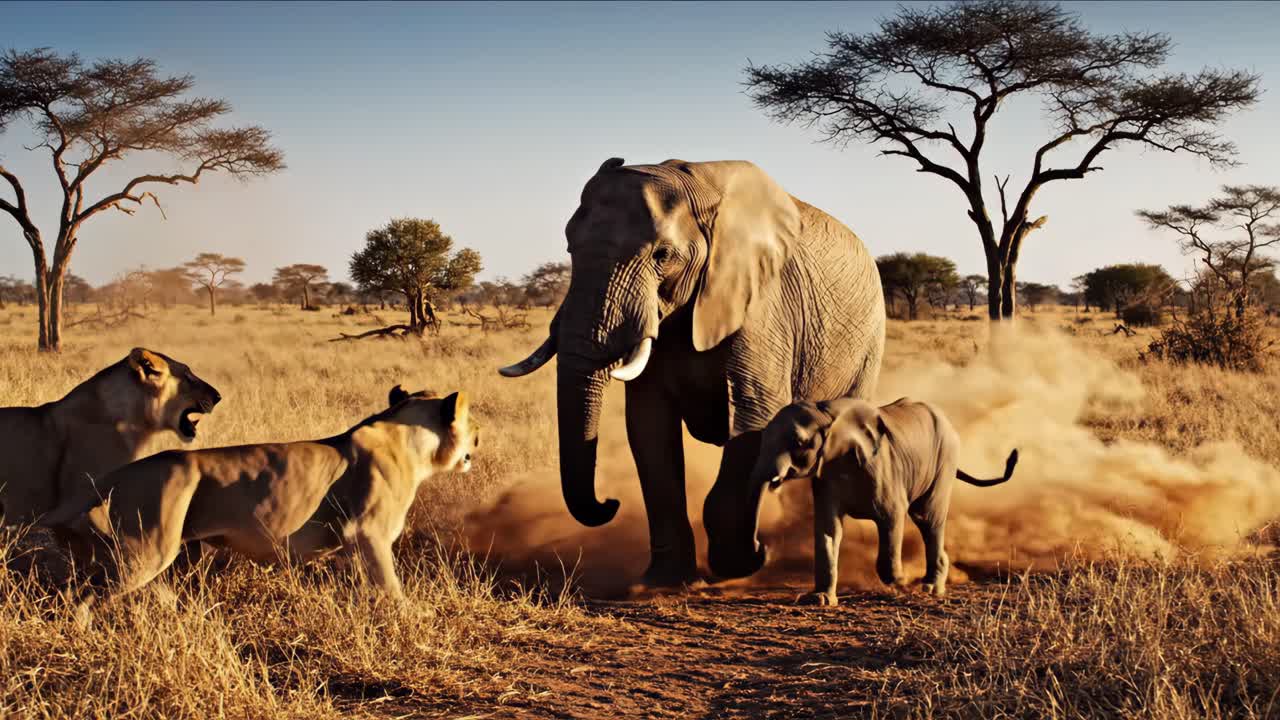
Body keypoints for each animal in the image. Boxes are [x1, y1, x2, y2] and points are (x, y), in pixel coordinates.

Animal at [46, 385, 479, 618]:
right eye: (473, 425)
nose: (478, 441)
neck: (413, 441)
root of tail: (127, 469)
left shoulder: (353, 544)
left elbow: (365, 583)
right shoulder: (367, 531)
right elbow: (390, 583)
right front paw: (411, 614)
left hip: (157, 549)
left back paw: (174, 608)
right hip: (147, 548)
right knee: (84, 596)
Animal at [498, 157, 886, 585]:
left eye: (663, 255)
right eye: (571, 248)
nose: (609, 502)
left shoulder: (763, 303)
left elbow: (755, 415)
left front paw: (747, 561)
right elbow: (649, 428)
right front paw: (666, 580)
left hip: (868, 341)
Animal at [753, 396, 1018, 604]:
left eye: (799, 443)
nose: (761, 547)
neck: (828, 413)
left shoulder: (882, 468)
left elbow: (892, 517)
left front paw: (902, 579)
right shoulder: (825, 477)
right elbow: (828, 530)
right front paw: (820, 600)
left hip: (946, 459)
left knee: (928, 518)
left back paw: (931, 587)